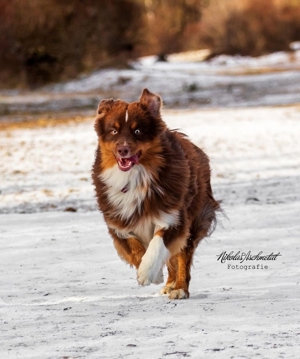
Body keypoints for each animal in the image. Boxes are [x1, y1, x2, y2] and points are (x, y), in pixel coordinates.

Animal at [91, 88, 220, 300]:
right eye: (114, 131)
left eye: (137, 131)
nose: (123, 149)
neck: (135, 177)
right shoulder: (119, 222)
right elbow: (136, 249)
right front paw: (155, 273)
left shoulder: (174, 217)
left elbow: (158, 243)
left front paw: (148, 272)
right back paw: (169, 284)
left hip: (194, 218)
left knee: (182, 256)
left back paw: (179, 288)